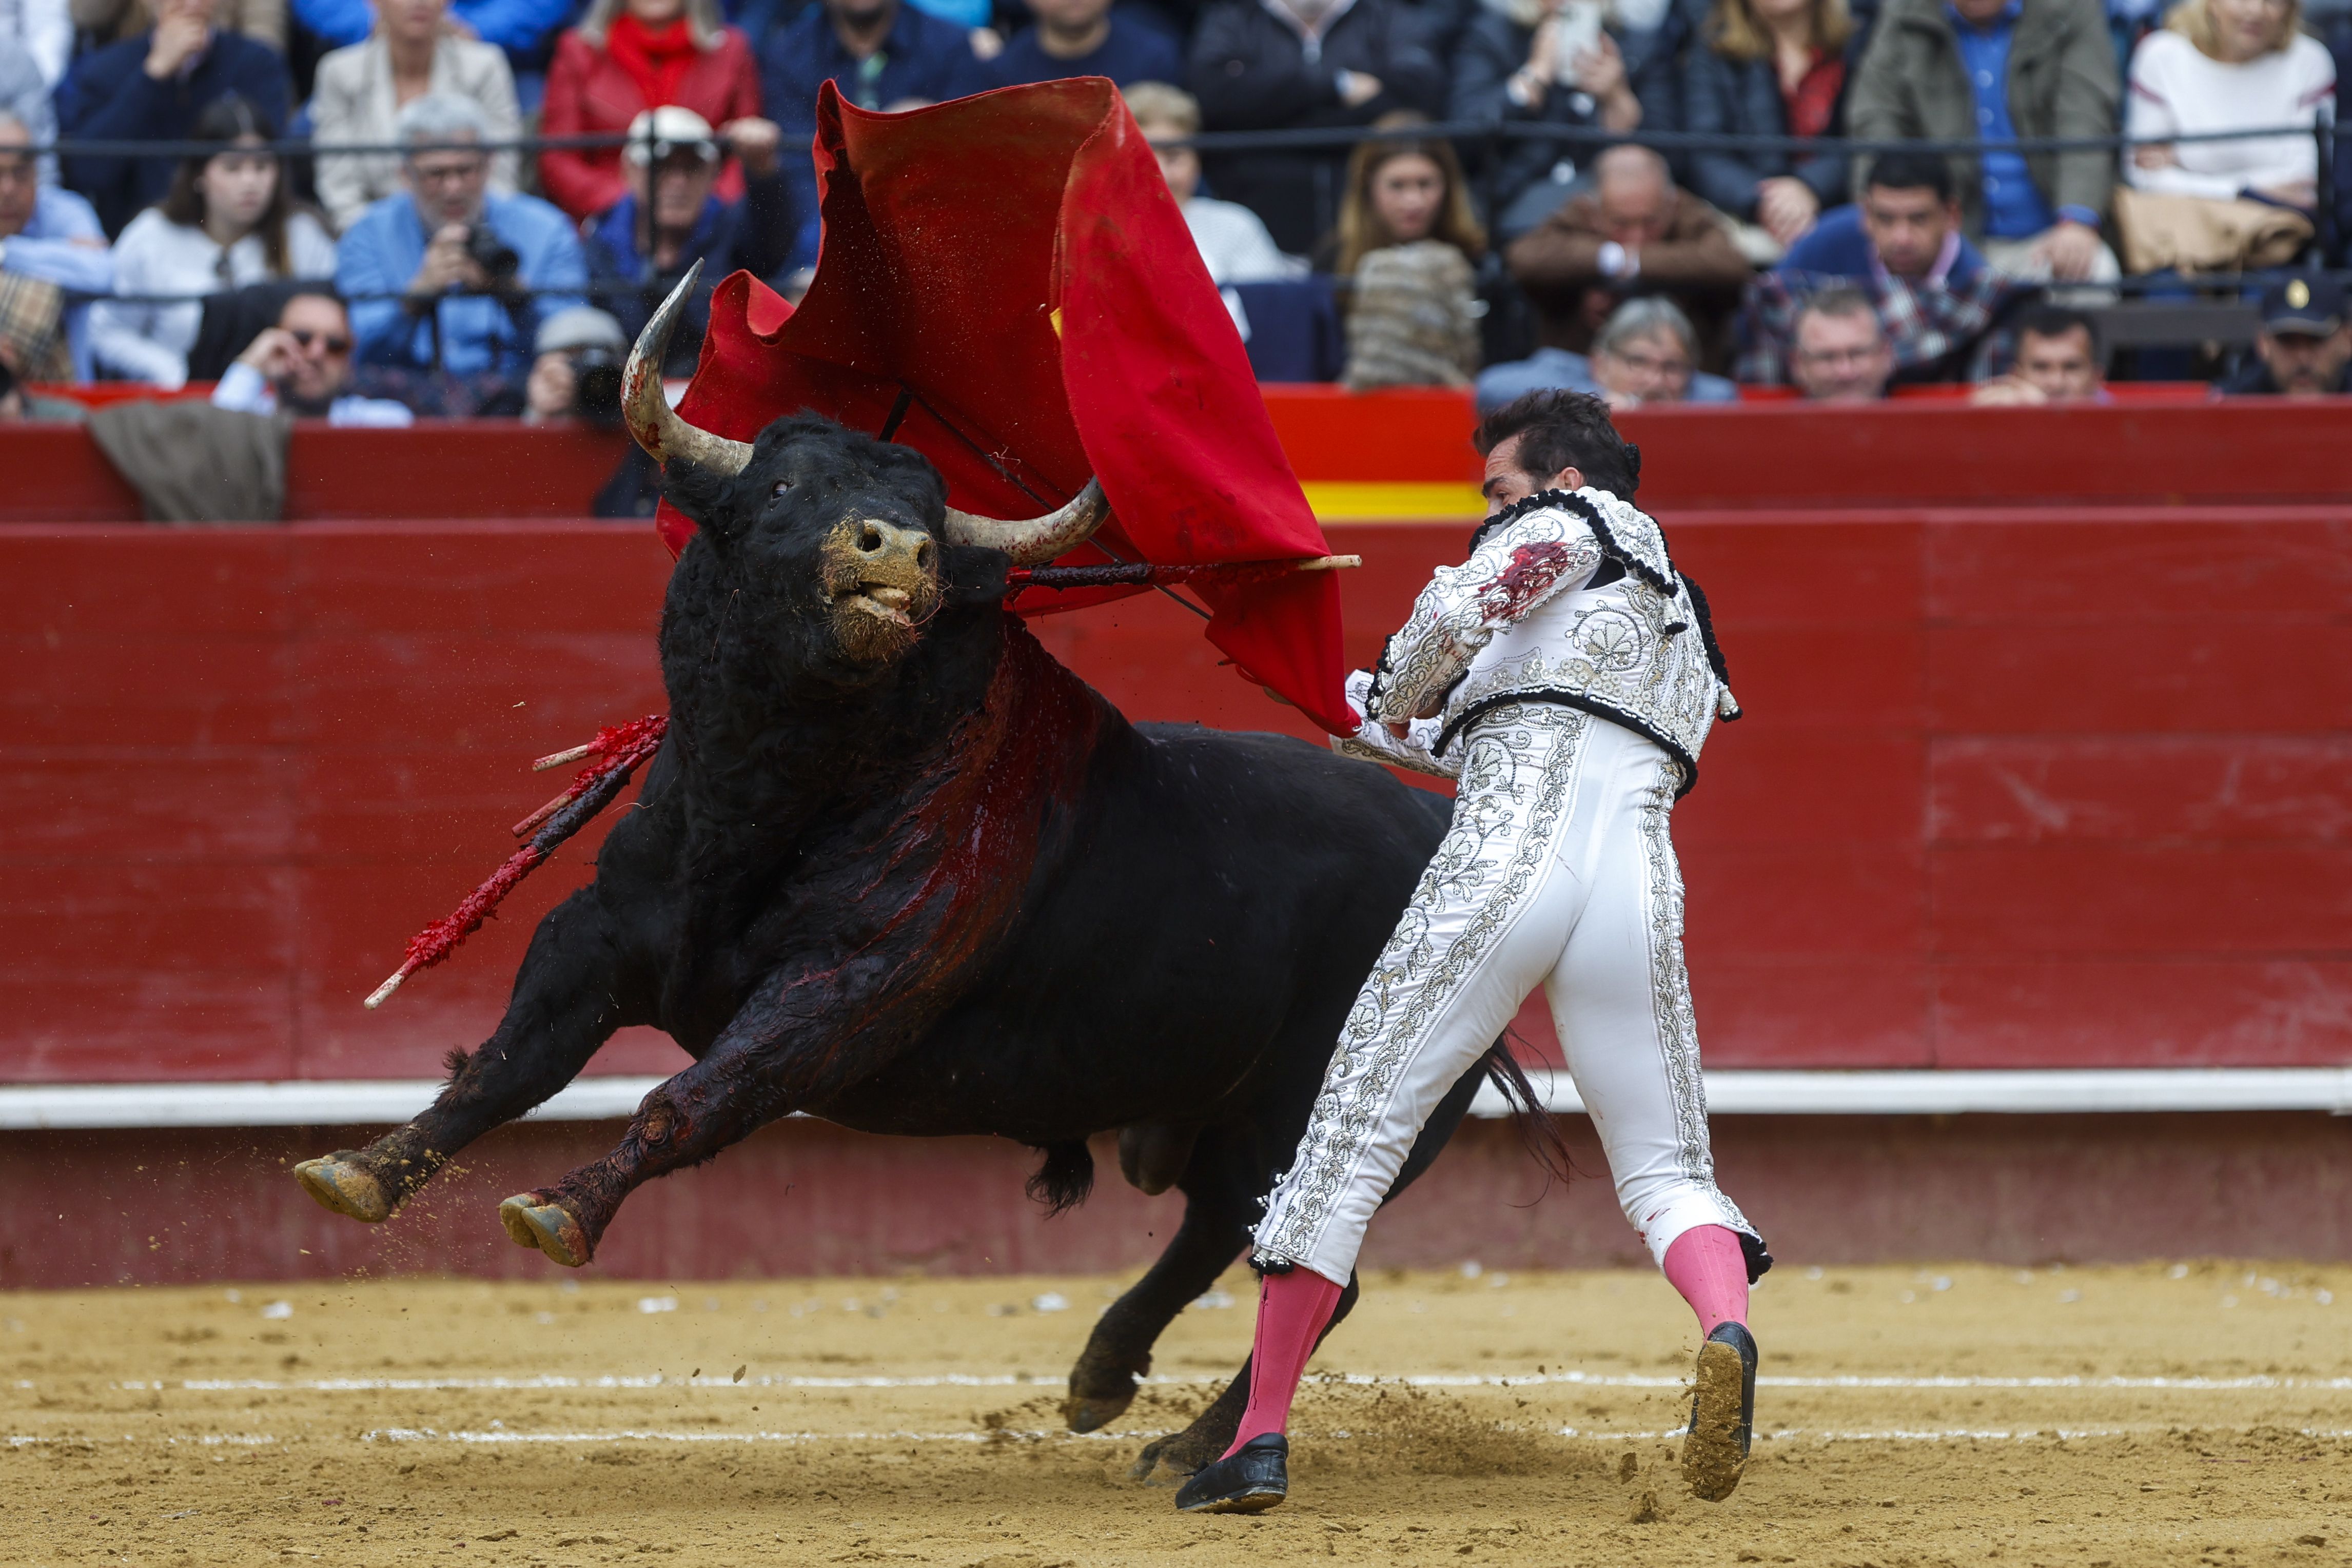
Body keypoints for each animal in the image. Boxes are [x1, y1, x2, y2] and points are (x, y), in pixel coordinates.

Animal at [299, 411, 1561, 1476]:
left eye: (929, 511)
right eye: (782, 485)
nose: (896, 550)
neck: (763, 803)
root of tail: (1437, 820)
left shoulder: (840, 995)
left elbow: (685, 1100)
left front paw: (561, 1208)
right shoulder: (598, 940)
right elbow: (507, 1065)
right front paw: (361, 1170)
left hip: (1335, 1104)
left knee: (1306, 1262)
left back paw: (1193, 1446)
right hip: (1214, 1112)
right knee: (1218, 1230)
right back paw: (1104, 1380)